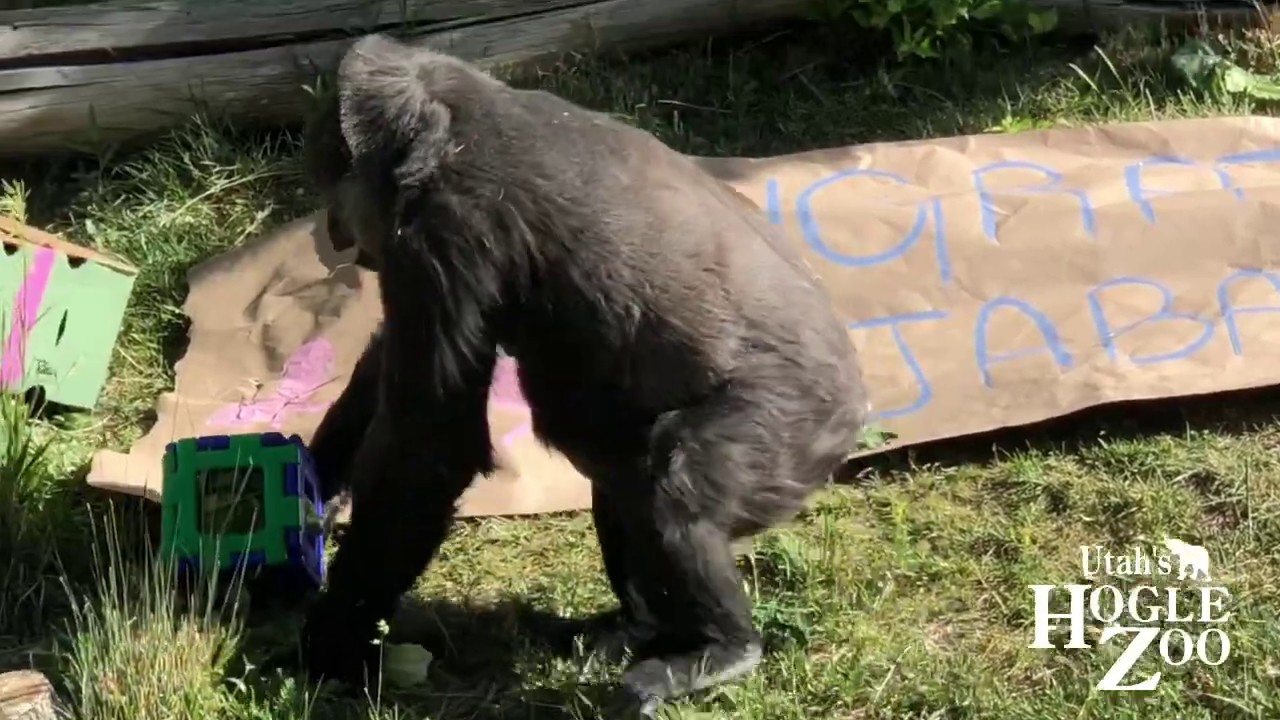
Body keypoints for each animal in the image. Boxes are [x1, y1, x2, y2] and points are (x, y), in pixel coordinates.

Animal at [295, 33, 869, 716]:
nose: (333, 233)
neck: (451, 120)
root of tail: (855, 414)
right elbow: (393, 376)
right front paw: (308, 481)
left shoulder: (443, 230)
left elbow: (428, 445)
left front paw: (332, 640)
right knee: (619, 465)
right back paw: (641, 628)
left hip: (793, 430)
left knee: (671, 476)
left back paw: (721, 647)